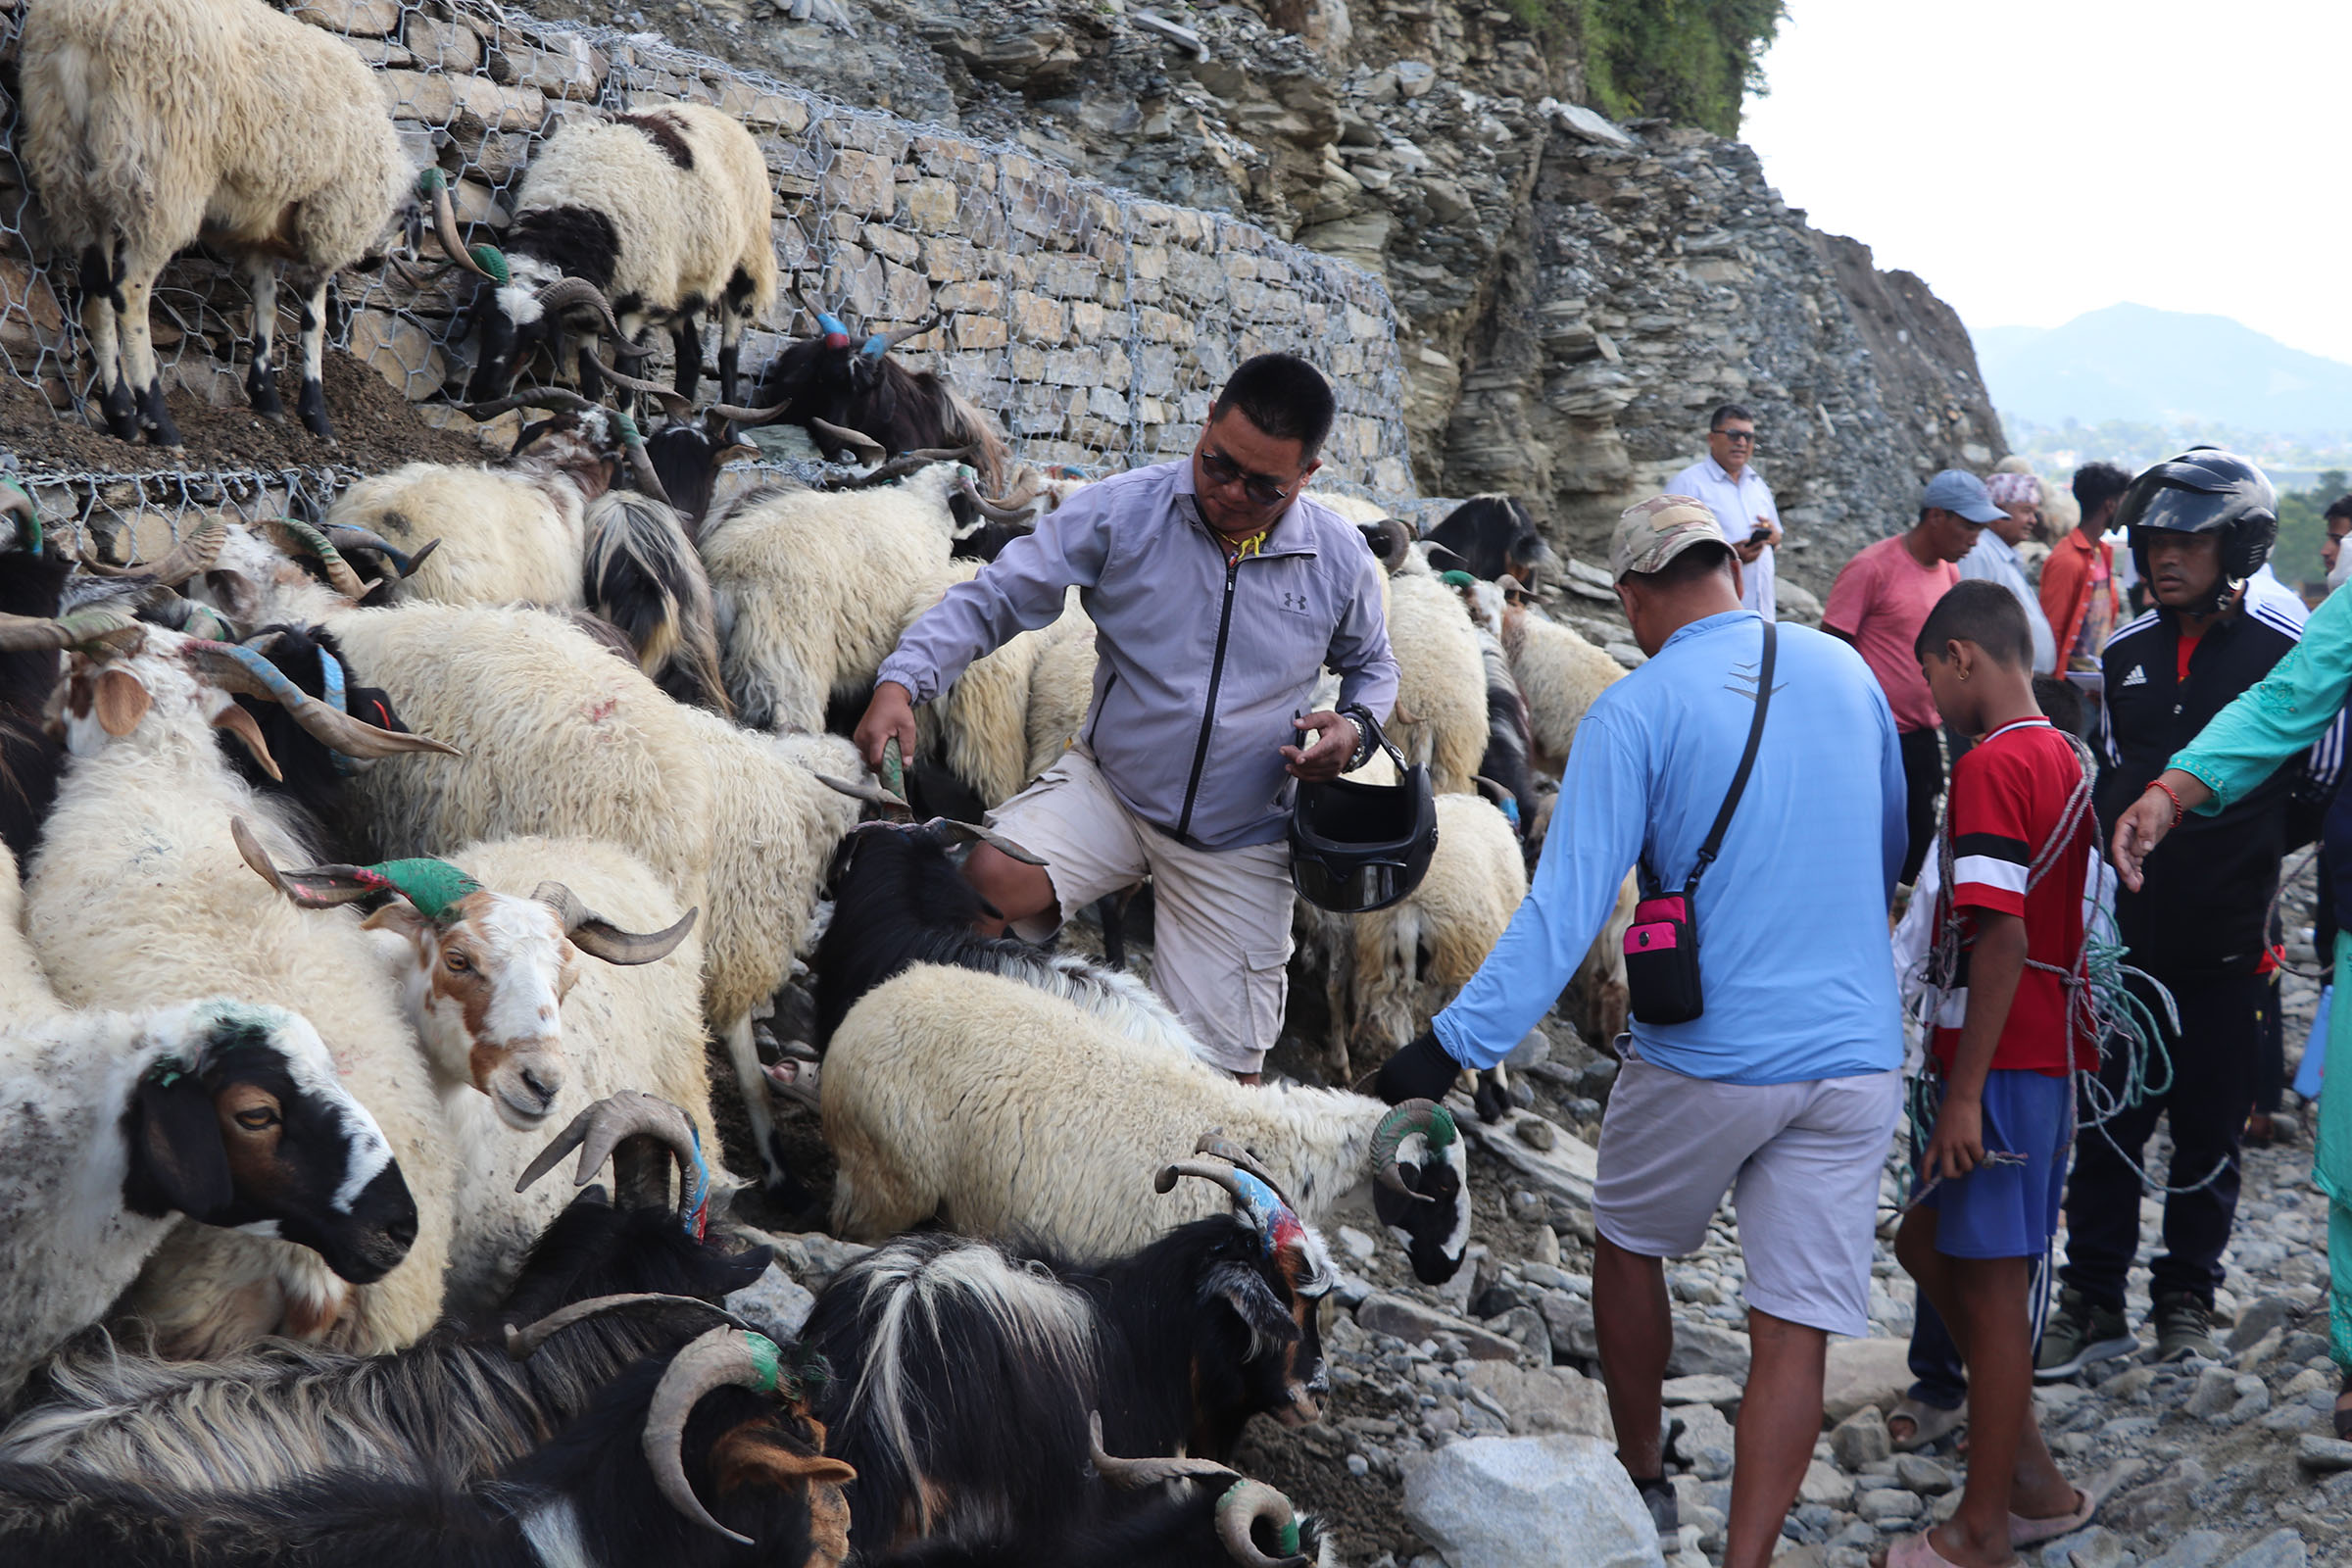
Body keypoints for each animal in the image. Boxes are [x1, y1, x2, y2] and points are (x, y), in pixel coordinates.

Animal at [19, 0, 404, 441]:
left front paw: (266, 397)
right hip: (161, 171)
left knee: (96, 286)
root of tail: (87, 27)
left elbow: (266, 305)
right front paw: (316, 415)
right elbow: (315, 320)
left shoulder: (259, 231)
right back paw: (158, 420)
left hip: (69, 165)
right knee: (129, 292)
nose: (376, 261)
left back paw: (122, 416)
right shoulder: (329, 222)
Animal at [466, 105, 780, 411]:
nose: (483, 392)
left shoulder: (637, 306)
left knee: (728, 355)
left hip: (748, 268)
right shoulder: (590, 315)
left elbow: (627, 377)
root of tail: (725, 118)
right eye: (483, 321)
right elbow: (590, 375)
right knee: (691, 355)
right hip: (681, 286)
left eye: (535, 337)